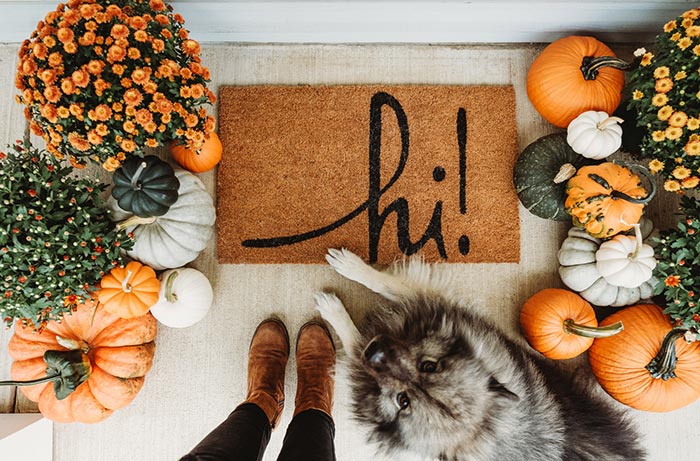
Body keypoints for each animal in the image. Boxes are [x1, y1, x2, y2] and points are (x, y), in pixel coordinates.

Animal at [316, 250, 644, 458]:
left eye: (403, 401)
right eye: (429, 366)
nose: (376, 350)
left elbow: (354, 342)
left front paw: (334, 310)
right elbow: (386, 282)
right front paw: (351, 266)